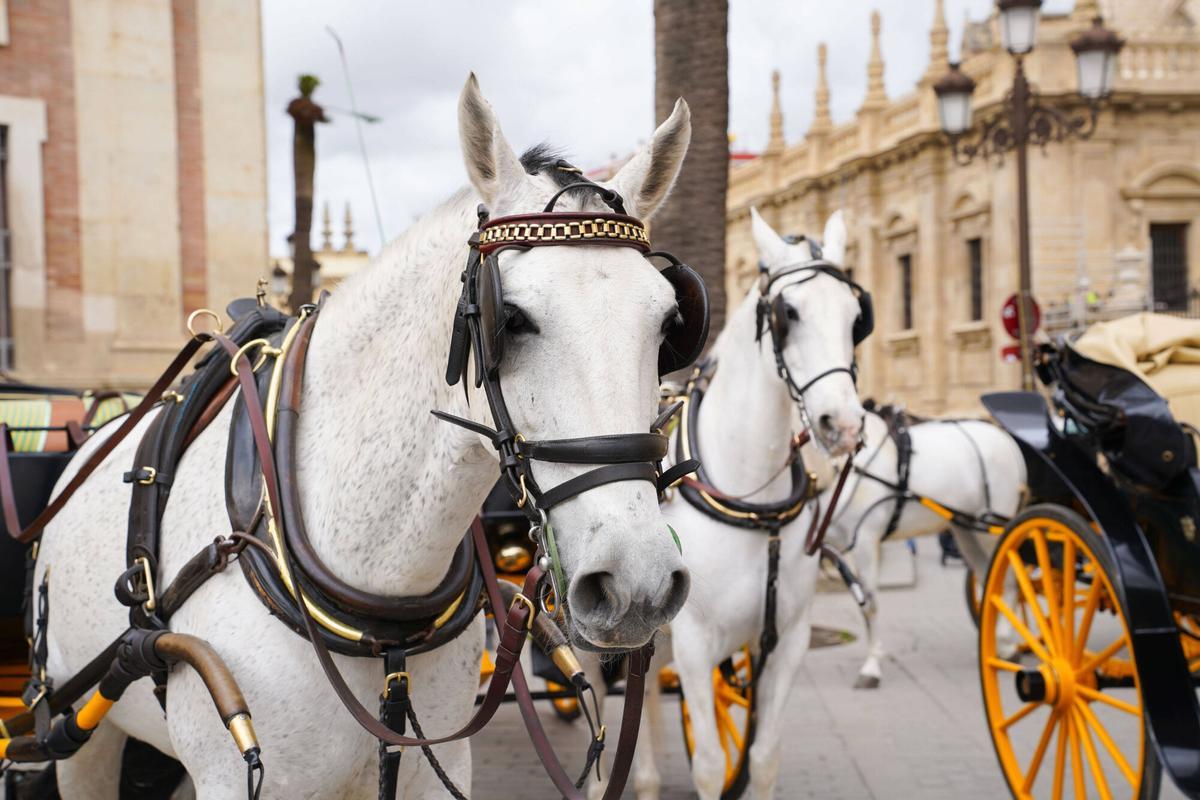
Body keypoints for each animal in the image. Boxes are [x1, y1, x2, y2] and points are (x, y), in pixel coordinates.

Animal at [34, 75, 695, 800]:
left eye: (670, 325)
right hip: (83, 730)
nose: (637, 582)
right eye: (512, 319)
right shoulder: (235, 777)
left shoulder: (428, 770)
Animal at [585, 208, 867, 800]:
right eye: (789, 314)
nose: (844, 425)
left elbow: (763, 756)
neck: (753, 503)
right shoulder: (695, 643)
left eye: (856, 317)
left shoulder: (786, 643)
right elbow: (712, 764)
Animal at [812, 407, 1027, 689]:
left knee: (1010, 580)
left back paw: (1004, 644)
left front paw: (872, 666)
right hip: (967, 530)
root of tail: (1005, 437)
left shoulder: (865, 541)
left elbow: (870, 605)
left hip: (992, 528)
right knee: (989, 580)